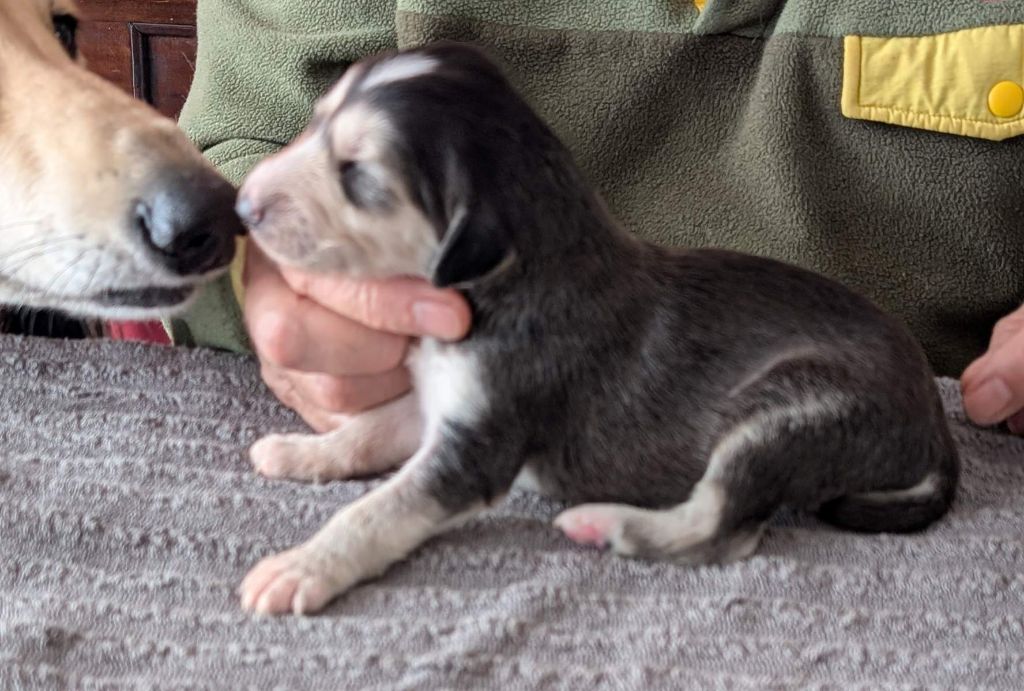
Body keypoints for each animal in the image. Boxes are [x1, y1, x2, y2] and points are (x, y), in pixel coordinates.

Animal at [235, 43, 954, 618]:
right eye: (315, 119)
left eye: (356, 172)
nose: (242, 205)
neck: (506, 277)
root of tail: (936, 426)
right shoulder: (444, 401)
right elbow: (370, 426)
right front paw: (300, 452)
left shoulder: (476, 450)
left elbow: (378, 509)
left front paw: (301, 566)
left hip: (787, 414)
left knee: (721, 529)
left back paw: (601, 523)